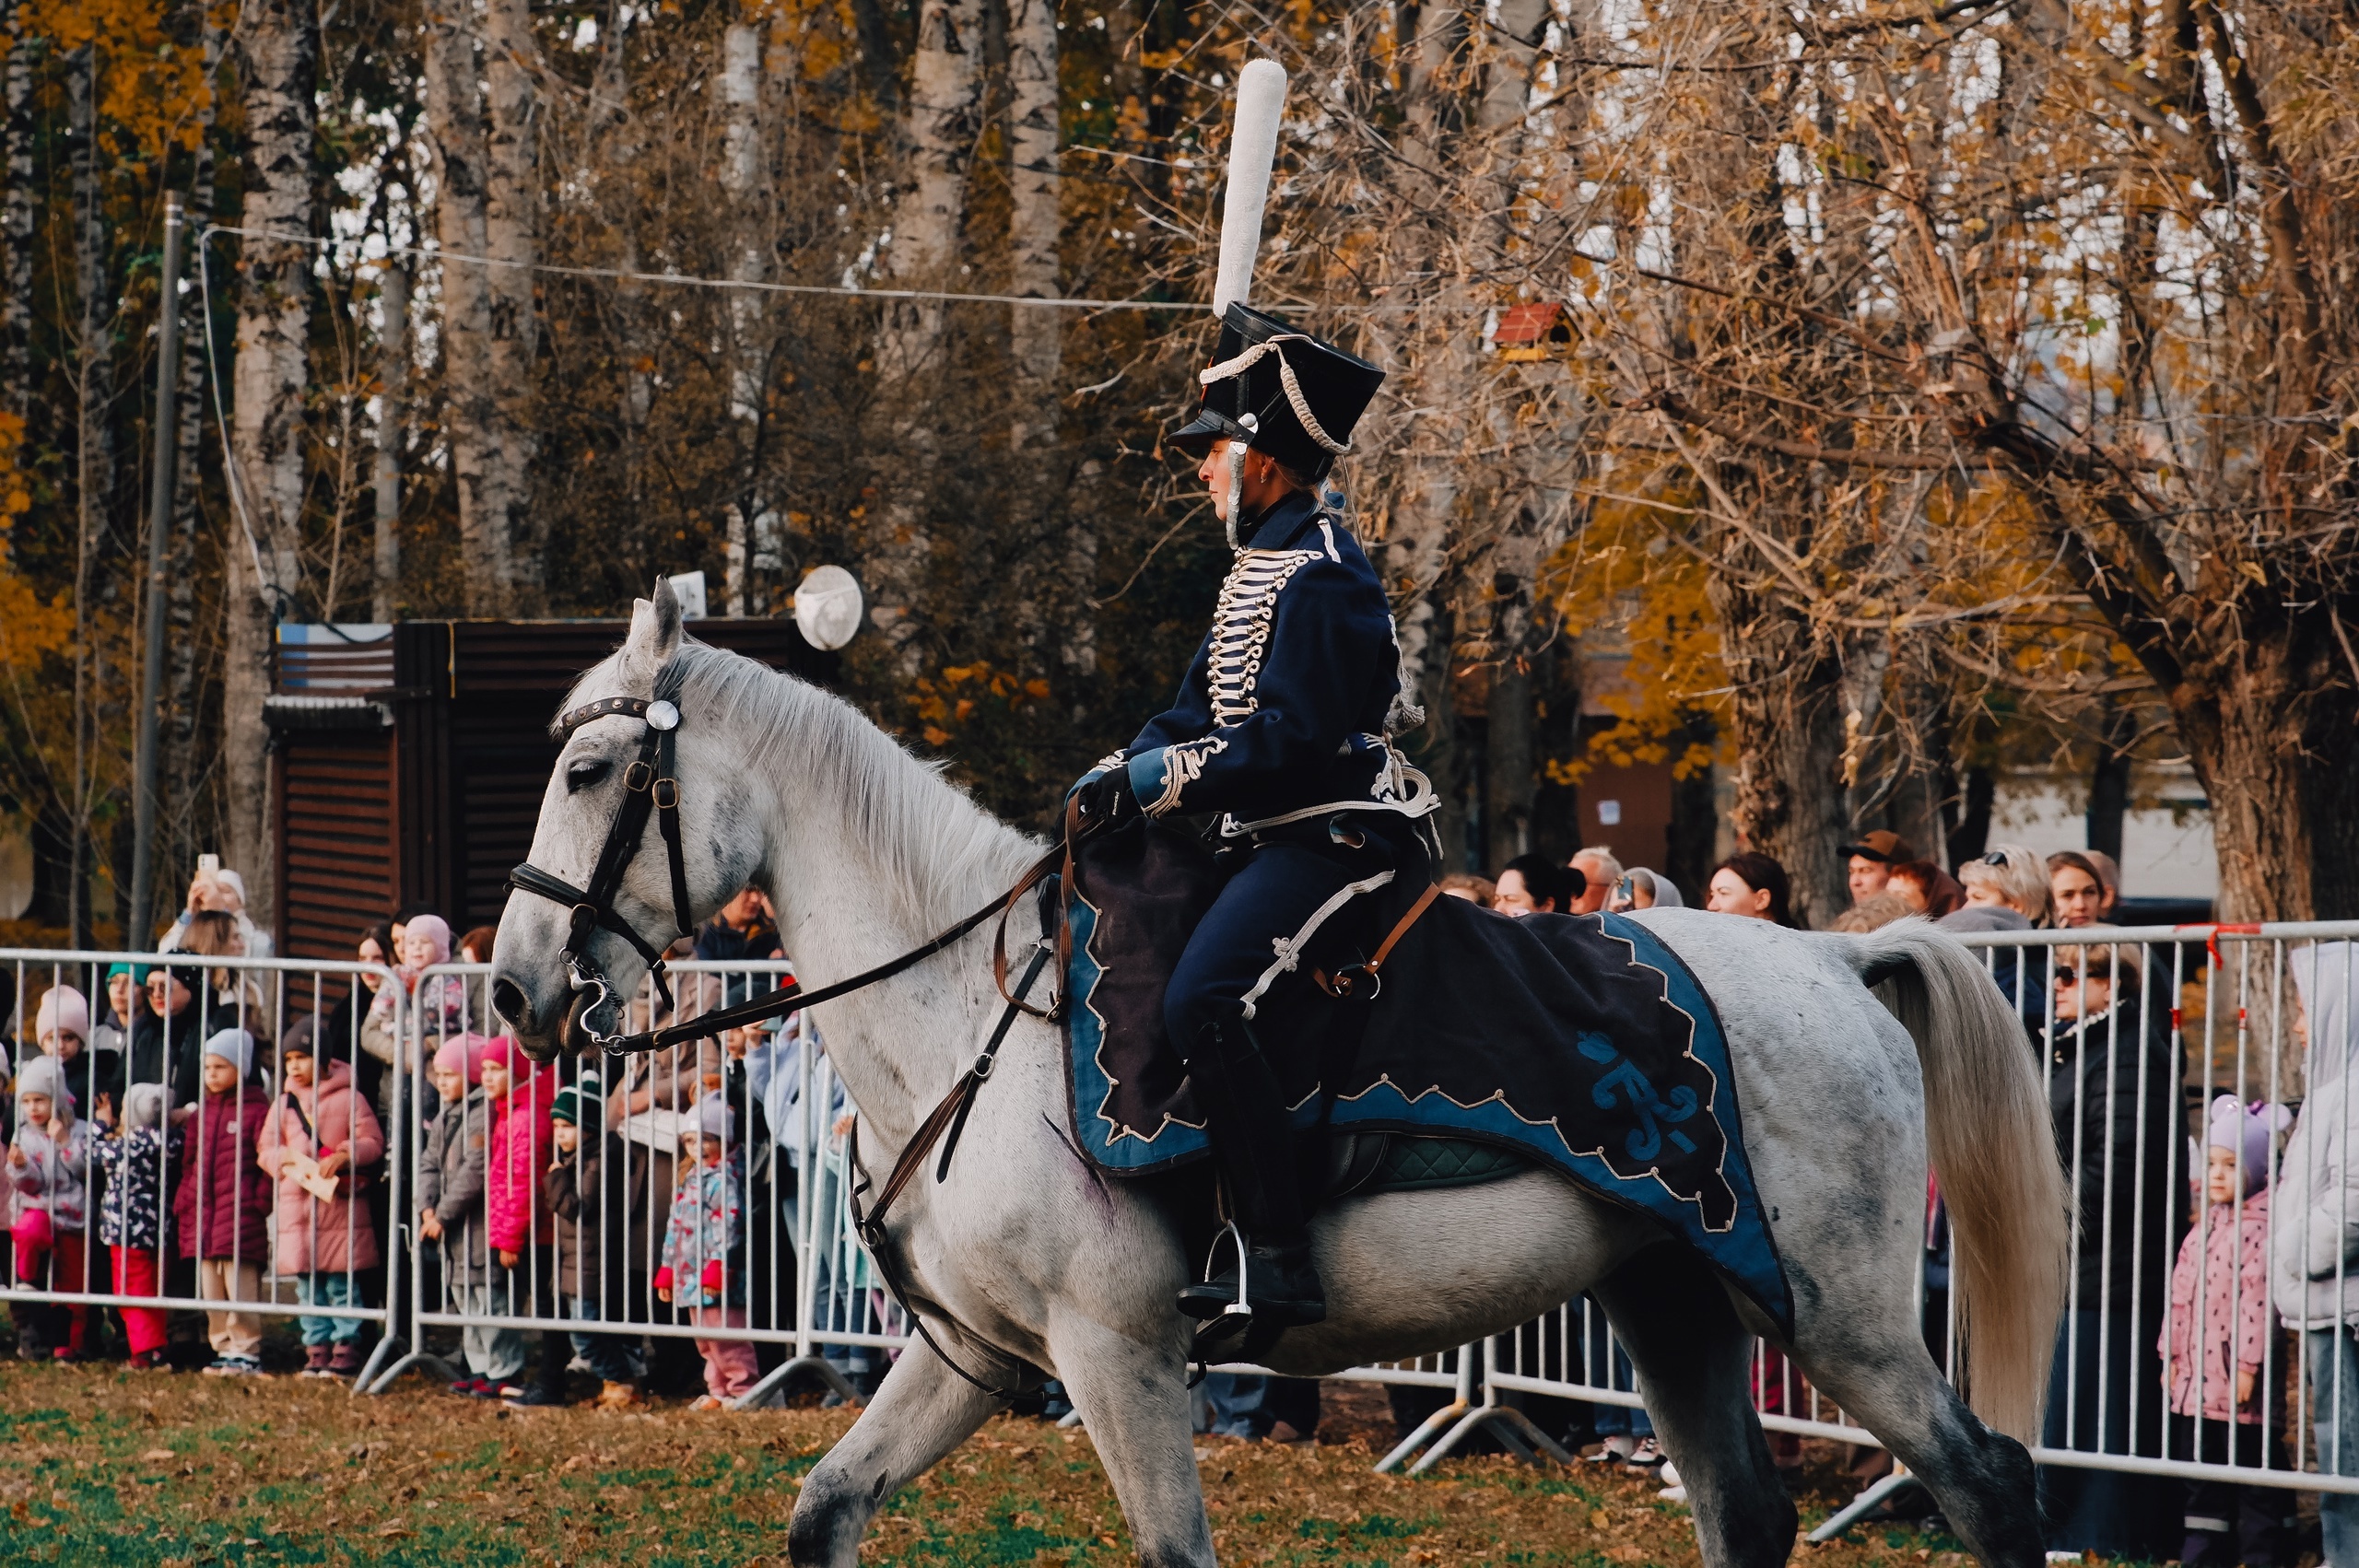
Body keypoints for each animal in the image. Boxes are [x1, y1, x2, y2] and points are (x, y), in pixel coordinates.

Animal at [493, 587, 2066, 1565]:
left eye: (587, 772)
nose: (514, 987)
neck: (974, 1018)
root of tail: (1843, 967)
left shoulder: (1118, 1353)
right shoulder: (979, 1353)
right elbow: (825, 1510)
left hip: (1842, 1314)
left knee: (1991, 1486)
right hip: (1676, 1298)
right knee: (1747, 1515)